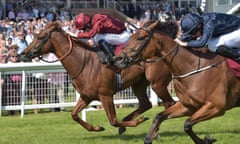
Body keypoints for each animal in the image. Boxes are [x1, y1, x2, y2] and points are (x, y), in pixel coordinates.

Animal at [20, 21, 174, 135]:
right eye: (34, 36)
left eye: (40, 37)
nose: (24, 53)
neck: (84, 63)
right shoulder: (86, 96)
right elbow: (74, 114)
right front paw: (97, 128)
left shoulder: (105, 95)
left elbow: (113, 120)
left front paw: (138, 121)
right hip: (139, 83)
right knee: (146, 104)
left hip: (157, 83)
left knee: (169, 103)